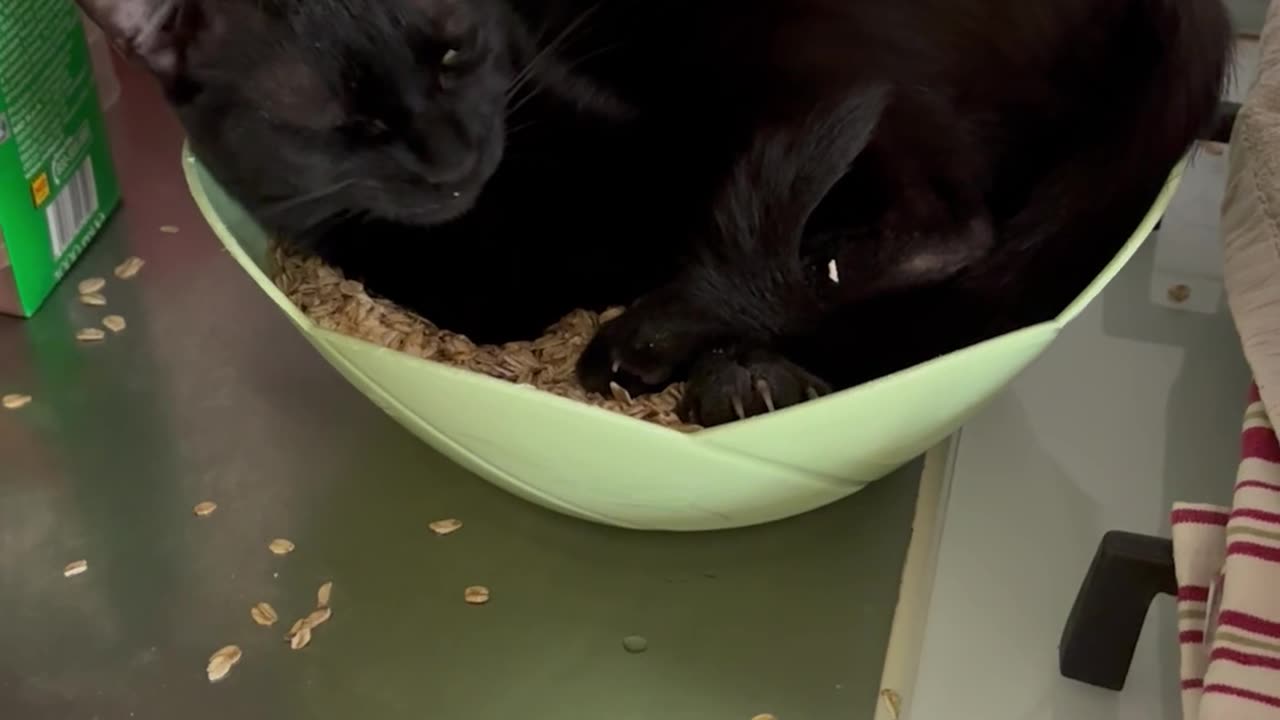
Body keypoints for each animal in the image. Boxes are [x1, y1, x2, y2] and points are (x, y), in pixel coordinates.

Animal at [77, 0, 1228, 422]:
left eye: (452, 49)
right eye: (340, 119)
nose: (454, 153)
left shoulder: (675, 148)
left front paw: (674, 340)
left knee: (948, 227)